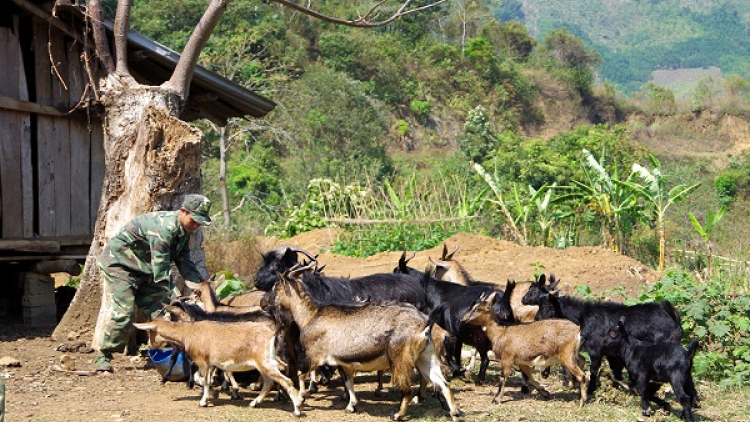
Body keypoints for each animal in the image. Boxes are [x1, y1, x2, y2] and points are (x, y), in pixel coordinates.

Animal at [134, 320, 304, 416]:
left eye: (149, 331)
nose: (149, 345)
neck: (189, 333)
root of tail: (271, 333)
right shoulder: (210, 364)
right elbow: (206, 380)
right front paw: (212, 395)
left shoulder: (202, 361)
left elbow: (204, 380)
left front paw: (204, 401)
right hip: (266, 362)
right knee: (271, 381)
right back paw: (254, 403)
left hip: (265, 362)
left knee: (286, 381)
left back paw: (297, 409)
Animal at [268, 266, 462, 420]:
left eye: (276, 287)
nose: (264, 303)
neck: (311, 315)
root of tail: (424, 324)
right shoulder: (344, 362)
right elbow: (348, 382)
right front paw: (351, 406)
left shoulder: (314, 356)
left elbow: (301, 374)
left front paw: (301, 399)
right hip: (425, 356)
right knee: (443, 383)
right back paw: (454, 414)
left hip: (400, 358)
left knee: (407, 389)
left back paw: (398, 414)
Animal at [462, 284, 592, 406]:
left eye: (478, 308)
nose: (463, 319)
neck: (501, 332)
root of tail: (577, 330)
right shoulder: (521, 362)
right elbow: (529, 378)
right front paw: (545, 393)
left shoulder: (507, 358)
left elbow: (503, 377)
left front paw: (496, 399)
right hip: (573, 353)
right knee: (582, 361)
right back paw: (575, 388)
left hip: (566, 355)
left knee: (582, 375)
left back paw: (582, 401)